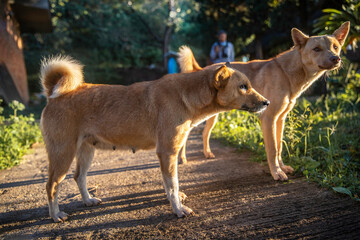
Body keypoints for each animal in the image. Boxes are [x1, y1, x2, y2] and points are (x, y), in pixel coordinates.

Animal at [40, 55, 268, 221]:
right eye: (243, 86)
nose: (267, 102)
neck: (186, 95)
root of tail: (53, 94)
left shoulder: (171, 153)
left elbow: (172, 185)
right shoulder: (167, 152)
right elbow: (172, 185)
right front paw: (178, 209)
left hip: (86, 151)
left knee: (79, 176)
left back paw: (88, 200)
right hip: (63, 155)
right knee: (51, 186)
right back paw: (55, 215)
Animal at [179, 22, 350, 182]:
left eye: (335, 47)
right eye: (316, 49)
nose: (336, 59)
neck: (285, 72)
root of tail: (204, 69)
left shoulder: (280, 119)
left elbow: (279, 146)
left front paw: (282, 168)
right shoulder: (268, 118)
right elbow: (273, 149)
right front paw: (276, 173)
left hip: (212, 116)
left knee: (204, 132)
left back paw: (207, 153)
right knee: (185, 136)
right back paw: (182, 158)